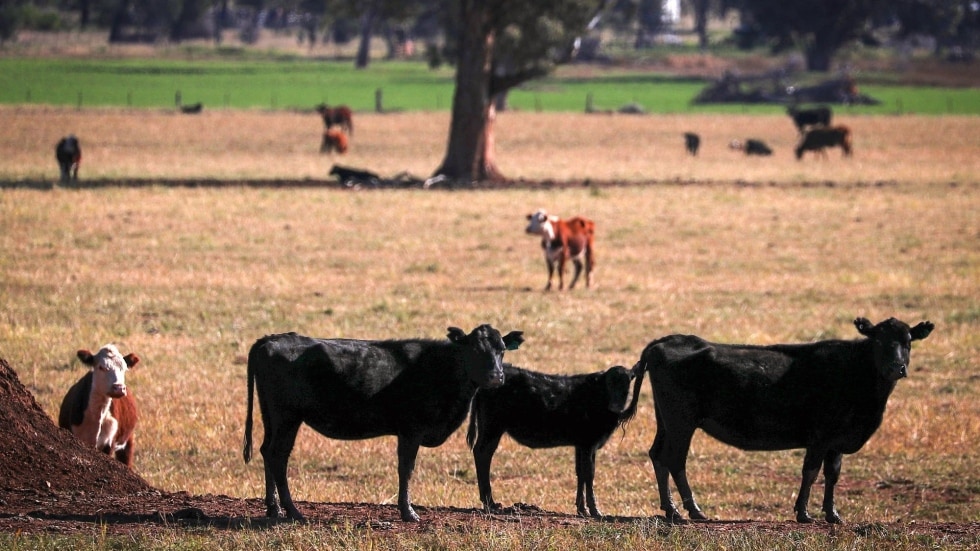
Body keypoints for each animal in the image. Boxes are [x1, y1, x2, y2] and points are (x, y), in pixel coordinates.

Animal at [242, 326, 524, 524]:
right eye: (475, 350)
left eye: (501, 350)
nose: (496, 376)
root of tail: (271, 339)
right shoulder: (410, 430)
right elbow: (406, 469)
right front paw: (408, 512)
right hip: (287, 417)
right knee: (278, 455)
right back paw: (292, 511)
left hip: (272, 416)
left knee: (267, 452)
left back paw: (274, 508)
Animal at [468, 362, 648, 516]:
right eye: (609, 384)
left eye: (627, 384)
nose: (616, 406)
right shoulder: (588, 443)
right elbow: (589, 473)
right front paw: (594, 510)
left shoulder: (581, 445)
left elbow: (580, 473)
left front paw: (582, 509)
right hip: (492, 427)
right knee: (483, 454)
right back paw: (490, 503)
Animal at [644, 316, 936, 524]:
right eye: (878, 341)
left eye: (908, 342)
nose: (897, 368)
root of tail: (664, 341)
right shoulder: (820, 437)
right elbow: (811, 472)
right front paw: (804, 514)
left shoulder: (836, 441)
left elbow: (832, 474)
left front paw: (832, 515)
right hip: (682, 423)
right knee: (675, 460)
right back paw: (690, 511)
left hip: (666, 422)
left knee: (658, 455)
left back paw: (670, 510)